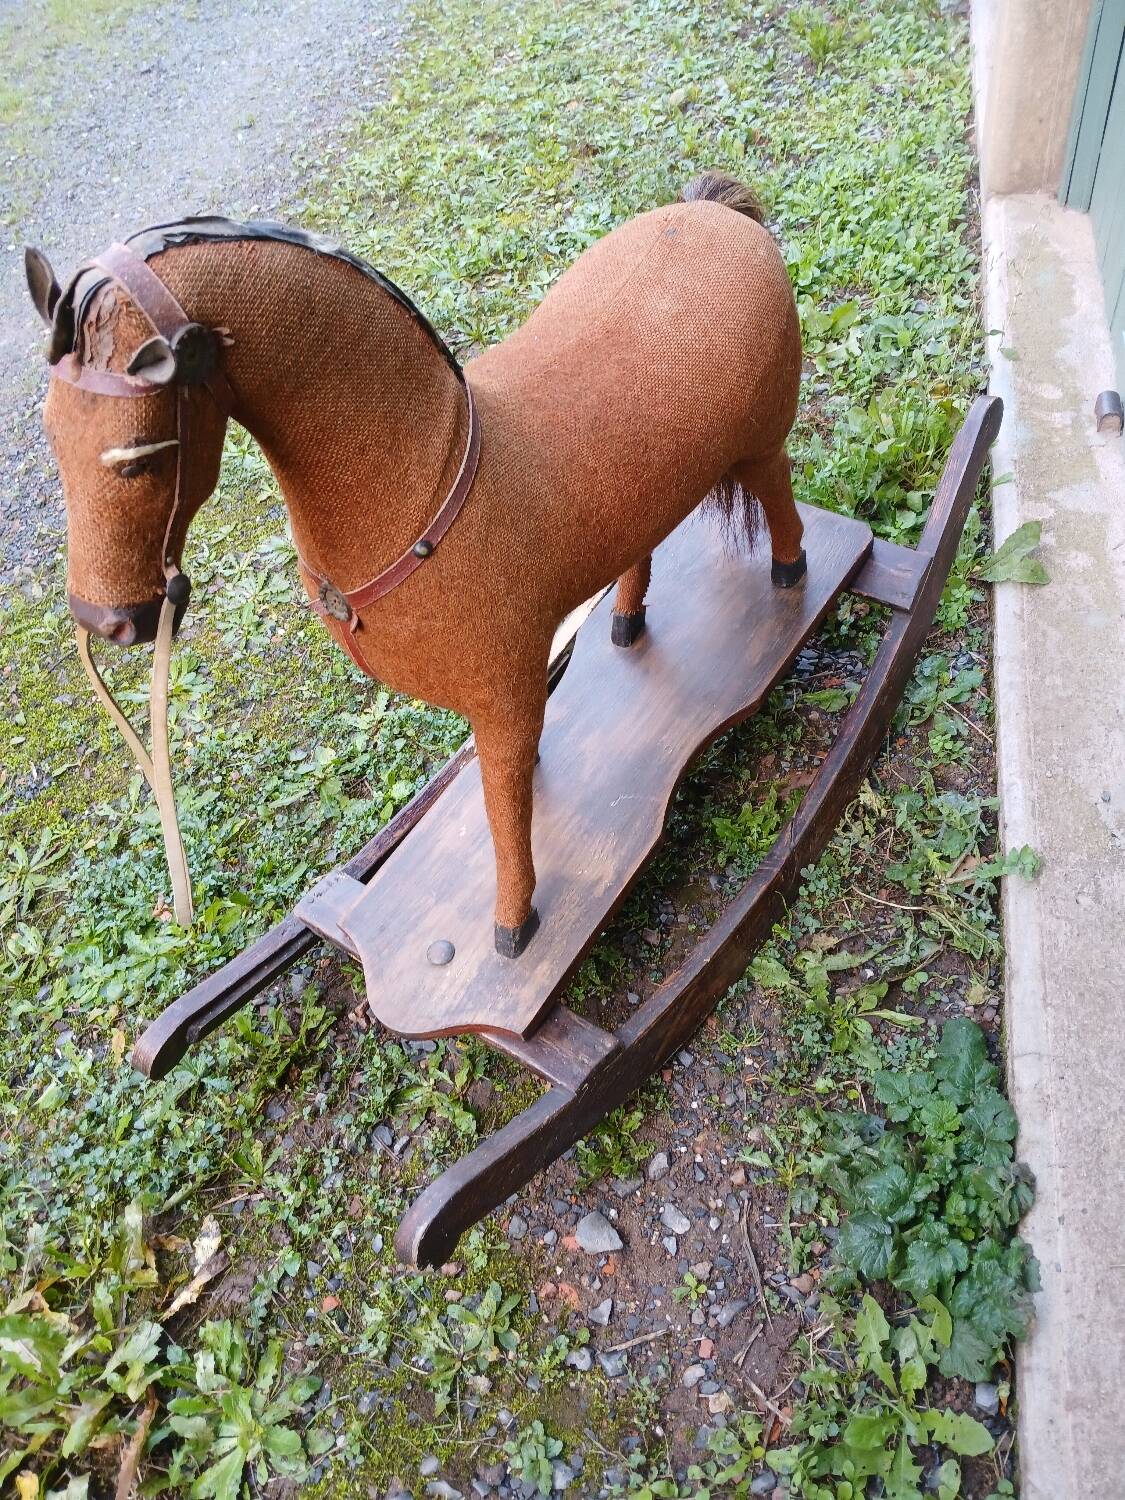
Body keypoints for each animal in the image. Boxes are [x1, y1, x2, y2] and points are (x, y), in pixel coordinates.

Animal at [26, 170, 806, 958]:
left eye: (139, 458)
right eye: (50, 431)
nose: (108, 621)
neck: (431, 482)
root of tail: (716, 212)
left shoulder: (505, 692)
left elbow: (502, 810)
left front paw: (513, 925)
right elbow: (510, 785)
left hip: (761, 441)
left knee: (780, 499)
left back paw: (789, 578)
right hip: (645, 494)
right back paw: (623, 622)